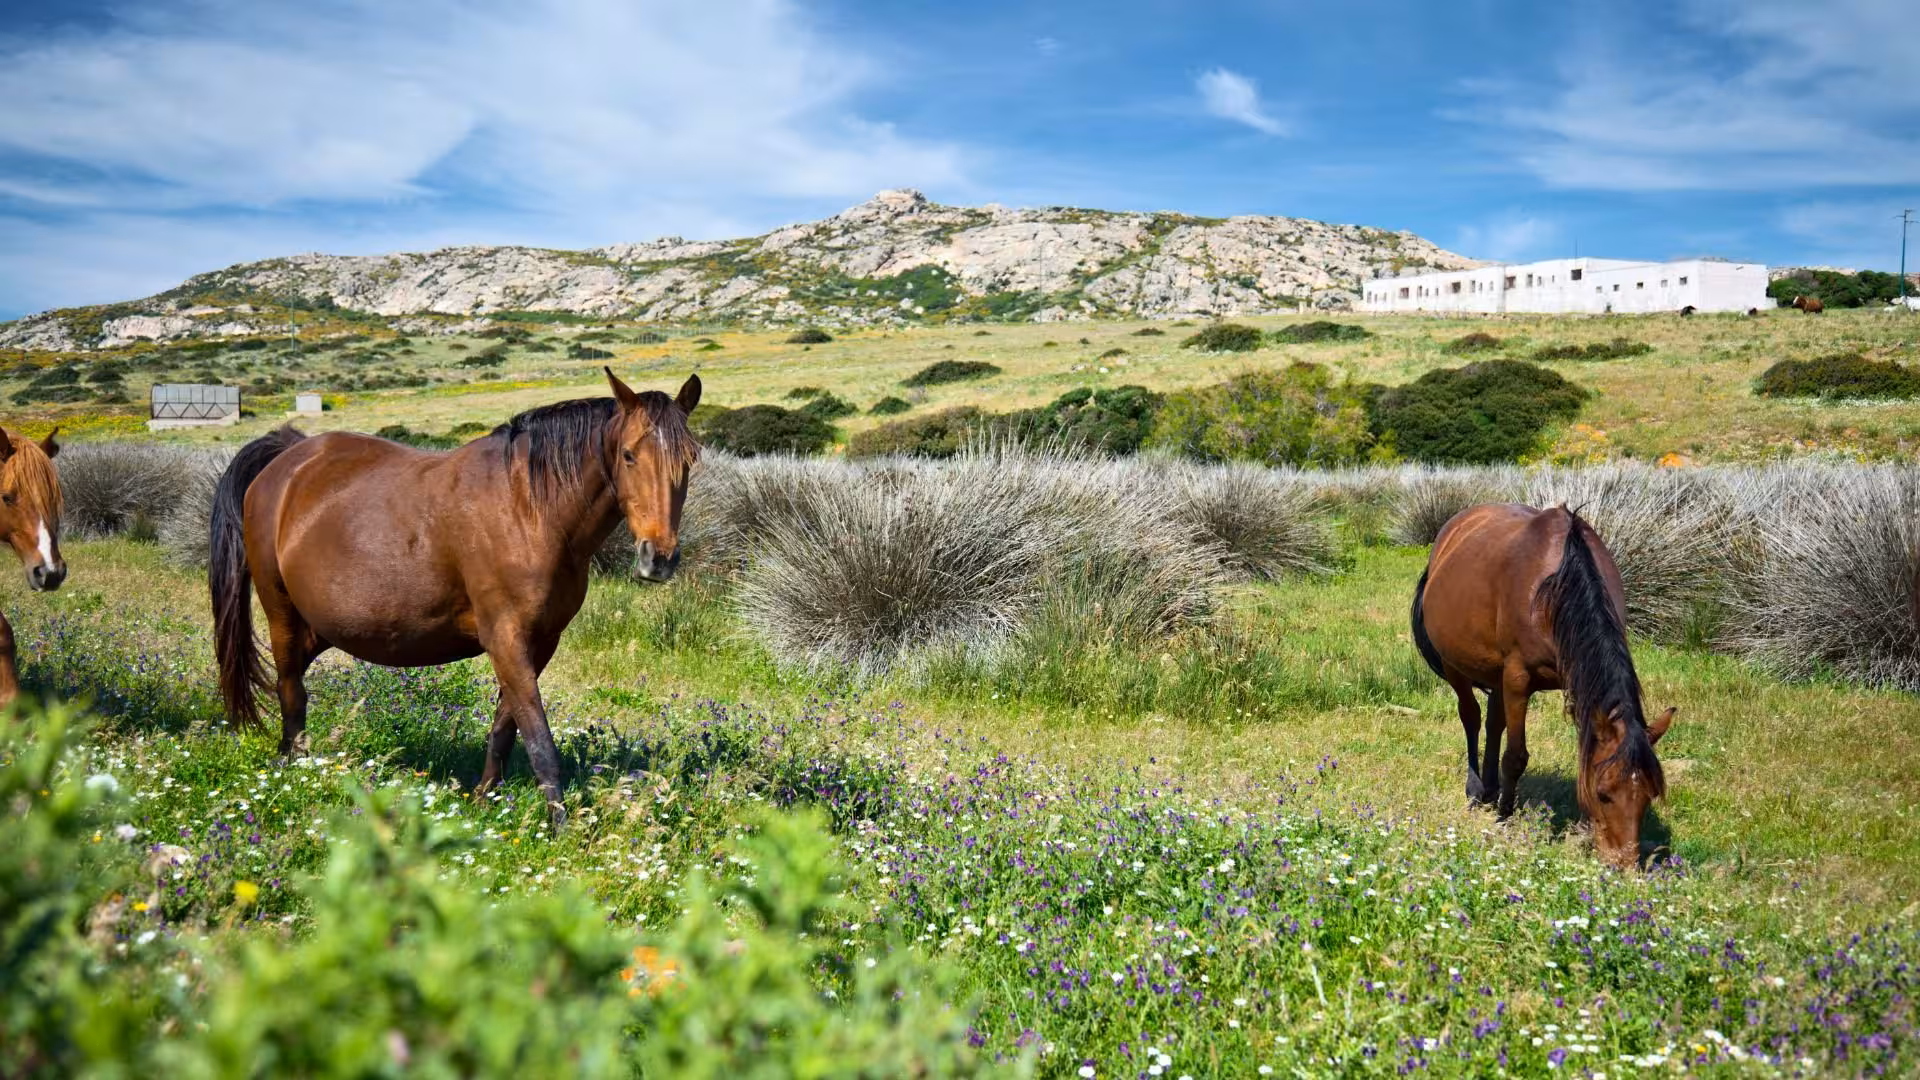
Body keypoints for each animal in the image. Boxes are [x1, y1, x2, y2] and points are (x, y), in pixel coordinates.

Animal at [209, 370, 701, 826]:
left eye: (690, 459)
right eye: (629, 455)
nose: (658, 558)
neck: (529, 510)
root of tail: (288, 459)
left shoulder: (539, 643)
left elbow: (505, 727)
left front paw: (484, 800)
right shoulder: (505, 639)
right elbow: (539, 739)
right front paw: (561, 826)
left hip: (319, 628)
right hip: (281, 613)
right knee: (290, 691)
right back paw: (294, 772)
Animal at [1410, 504, 1675, 868]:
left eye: (1648, 796)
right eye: (1604, 794)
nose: (1622, 866)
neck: (1555, 590)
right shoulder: (1517, 678)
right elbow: (1515, 756)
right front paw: (1504, 817)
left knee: (1493, 723)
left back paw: (1491, 788)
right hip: (1456, 667)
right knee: (1471, 717)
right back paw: (1477, 790)